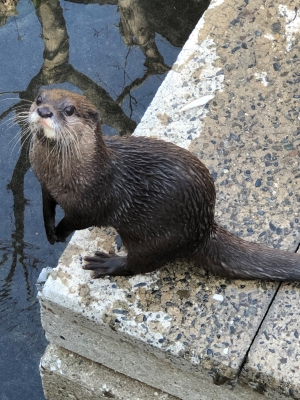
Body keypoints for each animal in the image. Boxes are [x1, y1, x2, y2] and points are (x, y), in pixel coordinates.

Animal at [27, 88, 300, 280]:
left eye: (69, 110)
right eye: (39, 98)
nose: (44, 112)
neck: (62, 175)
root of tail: (204, 227)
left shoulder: (94, 201)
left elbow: (77, 220)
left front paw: (61, 232)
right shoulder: (44, 184)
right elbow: (46, 207)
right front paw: (50, 231)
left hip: (161, 240)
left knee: (138, 265)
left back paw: (109, 263)